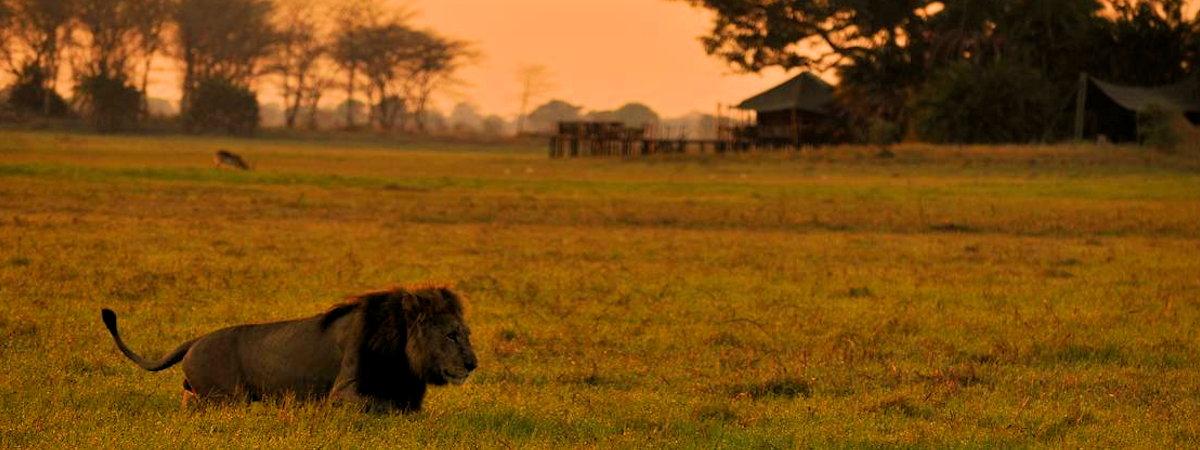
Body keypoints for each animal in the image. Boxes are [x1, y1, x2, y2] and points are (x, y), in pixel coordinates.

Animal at [99, 286, 472, 415]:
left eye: (466, 333)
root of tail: (195, 340)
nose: (473, 364)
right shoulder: (342, 393)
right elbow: (382, 406)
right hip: (227, 398)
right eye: (452, 335)